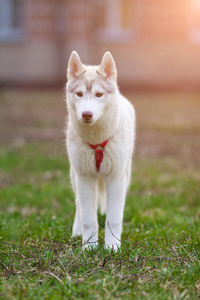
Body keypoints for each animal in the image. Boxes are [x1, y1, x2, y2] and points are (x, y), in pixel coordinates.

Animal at [66, 51, 135, 251]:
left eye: (98, 94)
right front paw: (89, 247)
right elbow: (88, 219)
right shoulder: (85, 177)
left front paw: (112, 247)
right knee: (79, 208)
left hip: (126, 173)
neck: (96, 141)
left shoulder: (116, 178)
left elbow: (114, 218)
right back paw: (76, 232)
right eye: (79, 94)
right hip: (75, 176)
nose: (87, 114)